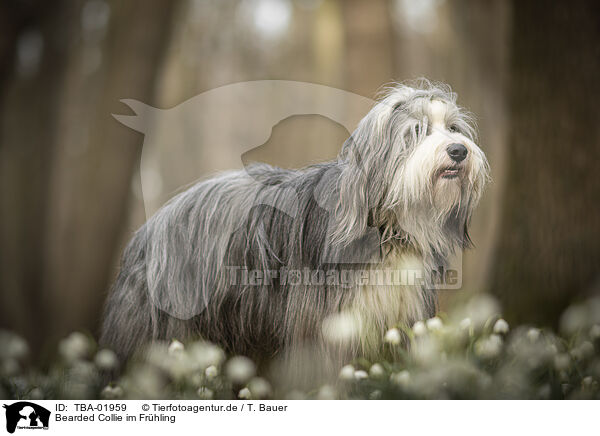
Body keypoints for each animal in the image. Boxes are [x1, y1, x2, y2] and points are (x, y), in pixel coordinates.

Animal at [101, 80, 490, 372]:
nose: (458, 151)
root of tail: (151, 226)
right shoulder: (318, 325)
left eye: (453, 128)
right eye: (417, 131)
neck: (385, 229)